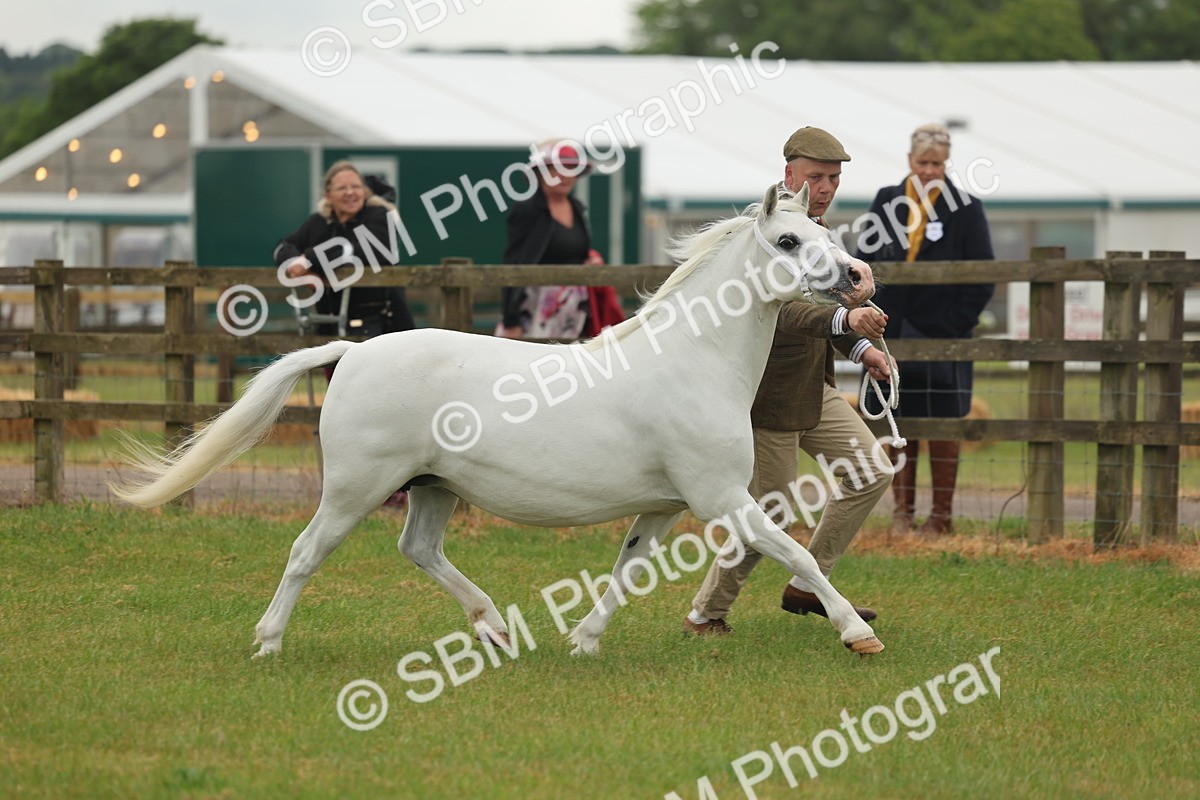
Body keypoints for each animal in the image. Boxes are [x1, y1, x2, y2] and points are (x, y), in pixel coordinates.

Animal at [111, 183, 885, 659]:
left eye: (822, 228)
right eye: (789, 242)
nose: (858, 279)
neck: (692, 361)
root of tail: (350, 352)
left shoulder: (664, 507)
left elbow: (627, 572)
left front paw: (583, 640)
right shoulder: (724, 499)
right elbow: (799, 555)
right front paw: (856, 633)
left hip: (433, 488)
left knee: (419, 550)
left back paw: (493, 627)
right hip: (357, 488)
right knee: (306, 553)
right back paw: (269, 642)